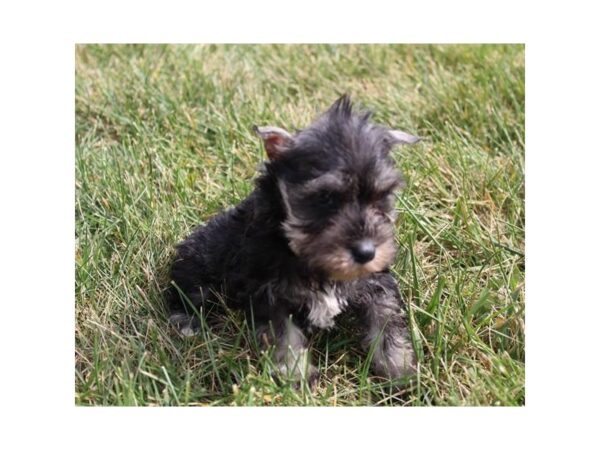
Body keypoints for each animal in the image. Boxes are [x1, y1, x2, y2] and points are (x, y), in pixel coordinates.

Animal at [169, 95, 420, 384]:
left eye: (382, 196)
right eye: (325, 198)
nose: (366, 253)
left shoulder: (376, 282)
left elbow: (387, 321)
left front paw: (400, 369)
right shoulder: (269, 295)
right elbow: (285, 336)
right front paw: (295, 375)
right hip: (199, 263)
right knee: (184, 292)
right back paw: (186, 323)